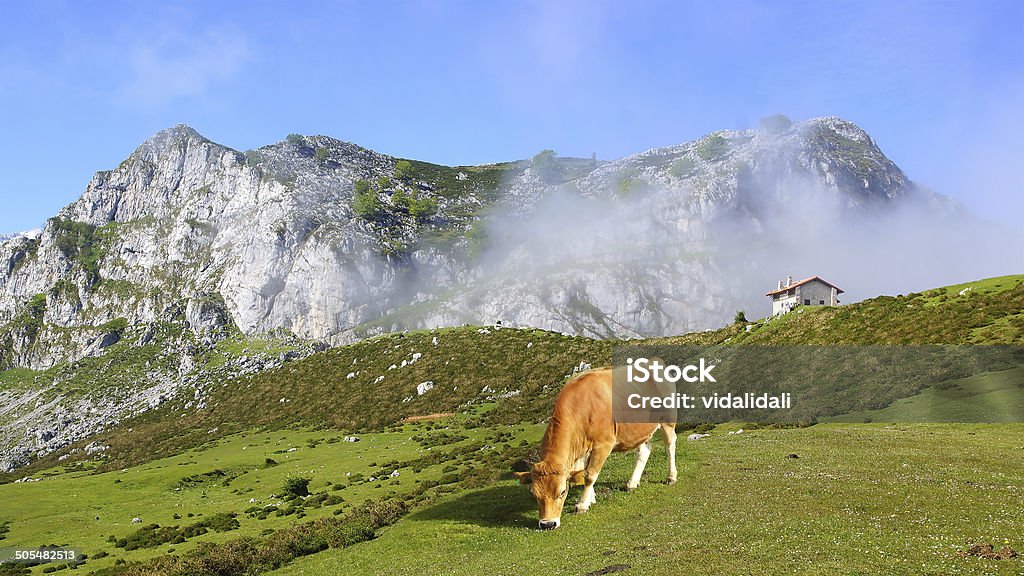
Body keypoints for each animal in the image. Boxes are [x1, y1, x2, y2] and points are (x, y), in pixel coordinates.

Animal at [516, 364, 675, 528]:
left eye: (562, 491)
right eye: (533, 494)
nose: (547, 524)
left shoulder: (603, 444)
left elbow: (590, 475)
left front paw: (582, 504)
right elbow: (583, 473)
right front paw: (591, 498)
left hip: (668, 419)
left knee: (670, 445)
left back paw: (671, 477)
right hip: (640, 431)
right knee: (644, 450)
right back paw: (632, 483)